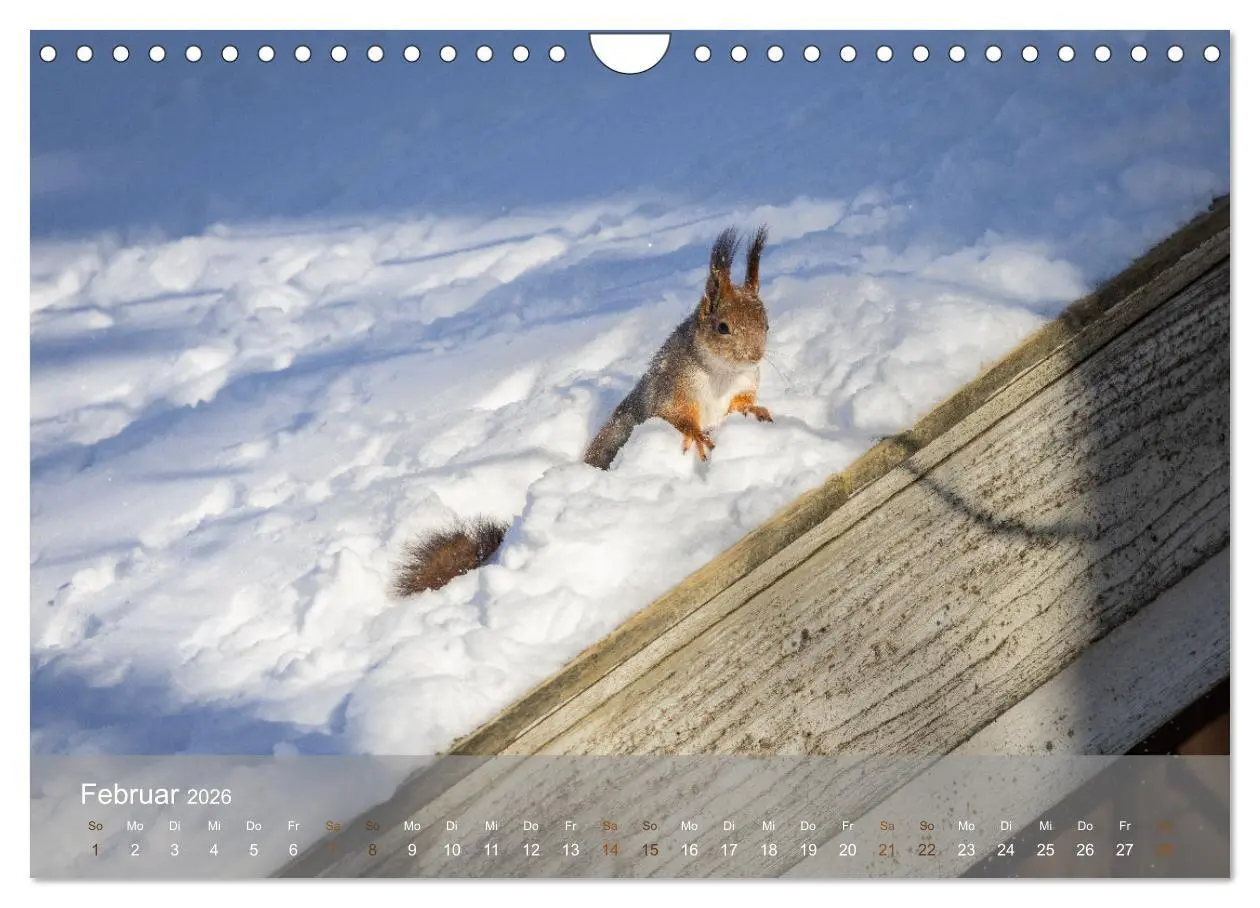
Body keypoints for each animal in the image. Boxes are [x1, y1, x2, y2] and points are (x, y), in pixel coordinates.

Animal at [392, 226, 773, 597]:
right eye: (722, 327)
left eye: (766, 323)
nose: (755, 355)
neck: (721, 373)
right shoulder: (673, 387)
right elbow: (674, 415)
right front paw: (696, 434)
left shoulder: (743, 383)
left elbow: (741, 403)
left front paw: (755, 410)